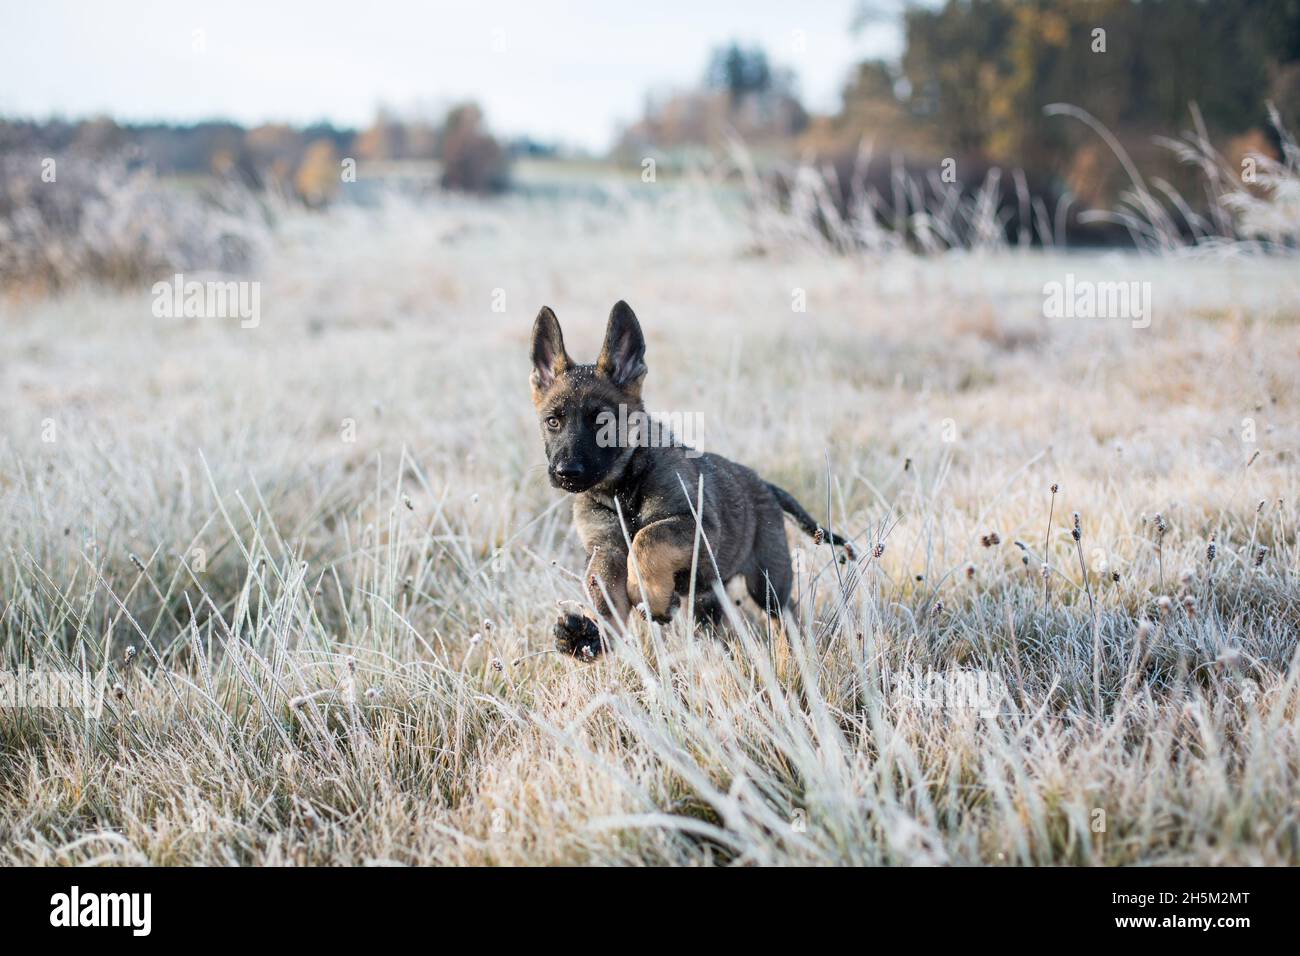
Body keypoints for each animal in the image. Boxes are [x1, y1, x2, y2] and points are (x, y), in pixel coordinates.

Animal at [530, 300, 852, 658]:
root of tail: (764, 484)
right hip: (710, 593)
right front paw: (588, 636)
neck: (623, 488)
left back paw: (791, 649)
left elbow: (647, 538)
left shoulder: (697, 524)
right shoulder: (605, 549)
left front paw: (649, 595)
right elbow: (604, 596)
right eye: (553, 421)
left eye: (602, 422)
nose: (566, 472)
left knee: (784, 612)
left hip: (767, 580)